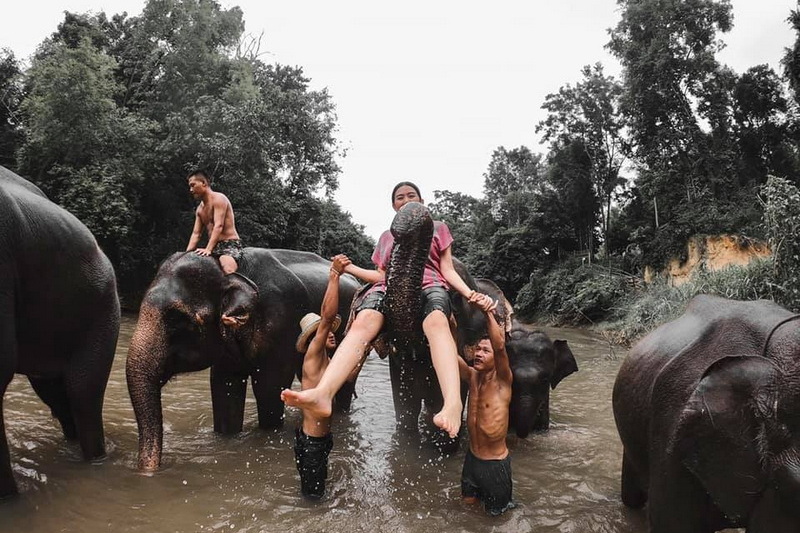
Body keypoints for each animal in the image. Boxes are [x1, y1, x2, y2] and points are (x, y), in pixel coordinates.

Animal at [126, 247, 360, 472]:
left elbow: (269, 389)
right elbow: (224, 388)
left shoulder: (280, 327)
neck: (230, 270)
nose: (150, 470)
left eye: (179, 319)